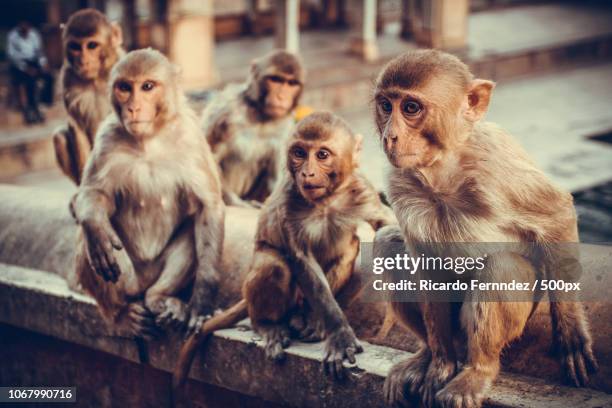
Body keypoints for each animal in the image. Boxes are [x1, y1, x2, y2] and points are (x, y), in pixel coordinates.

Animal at [53, 8, 125, 184]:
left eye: (92, 45)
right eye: (74, 47)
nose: (82, 61)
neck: (96, 79)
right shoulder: (67, 78)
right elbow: (76, 125)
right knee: (59, 137)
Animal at [71, 49, 225, 340]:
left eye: (147, 87)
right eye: (124, 87)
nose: (133, 107)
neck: (149, 141)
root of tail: (143, 284)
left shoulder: (191, 137)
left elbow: (208, 207)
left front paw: (201, 302)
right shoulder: (106, 138)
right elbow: (93, 194)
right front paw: (96, 227)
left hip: (154, 272)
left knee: (192, 229)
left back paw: (161, 298)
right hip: (127, 278)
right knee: (89, 241)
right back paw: (120, 314)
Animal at [172, 111, 394, 388]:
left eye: (322, 155)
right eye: (299, 153)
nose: (307, 174)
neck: (326, 200)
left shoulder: (361, 191)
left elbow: (385, 223)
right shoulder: (289, 202)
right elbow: (300, 258)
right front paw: (339, 334)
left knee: (349, 250)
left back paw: (310, 320)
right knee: (274, 265)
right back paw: (268, 324)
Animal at [202, 49, 304, 207]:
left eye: (292, 83)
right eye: (275, 80)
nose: (281, 97)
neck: (260, 114)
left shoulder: (286, 127)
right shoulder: (224, 110)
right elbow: (209, 156)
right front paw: (236, 203)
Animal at [370, 50, 596, 408]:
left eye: (411, 108)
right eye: (385, 105)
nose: (390, 136)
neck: (442, 170)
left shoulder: (496, 165)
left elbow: (557, 213)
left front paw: (571, 331)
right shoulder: (398, 181)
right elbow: (424, 266)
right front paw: (439, 364)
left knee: (502, 266)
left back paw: (479, 370)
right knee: (388, 245)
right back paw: (426, 355)